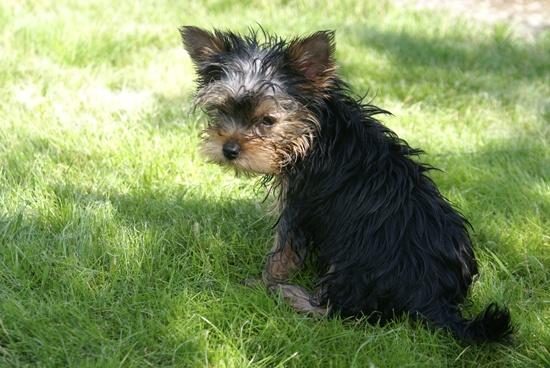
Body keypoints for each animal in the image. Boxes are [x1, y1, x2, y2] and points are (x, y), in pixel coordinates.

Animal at [180, 25, 512, 342]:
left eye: (268, 121)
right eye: (221, 111)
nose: (229, 149)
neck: (315, 133)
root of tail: (435, 299)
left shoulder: (298, 206)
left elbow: (282, 252)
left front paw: (263, 281)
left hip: (357, 267)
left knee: (339, 311)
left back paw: (290, 295)